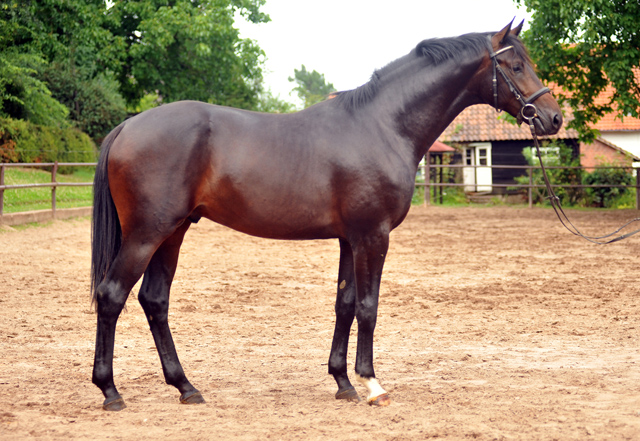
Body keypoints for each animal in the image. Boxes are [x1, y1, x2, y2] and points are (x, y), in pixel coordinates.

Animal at [89, 22, 560, 410]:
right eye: (516, 65)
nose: (553, 118)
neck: (382, 125)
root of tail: (127, 127)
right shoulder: (373, 236)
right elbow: (368, 306)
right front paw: (372, 384)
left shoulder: (349, 239)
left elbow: (345, 304)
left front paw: (342, 382)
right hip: (147, 234)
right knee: (112, 295)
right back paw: (110, 391)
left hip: (173, 233)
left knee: (155, 300)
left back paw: (186, 387)